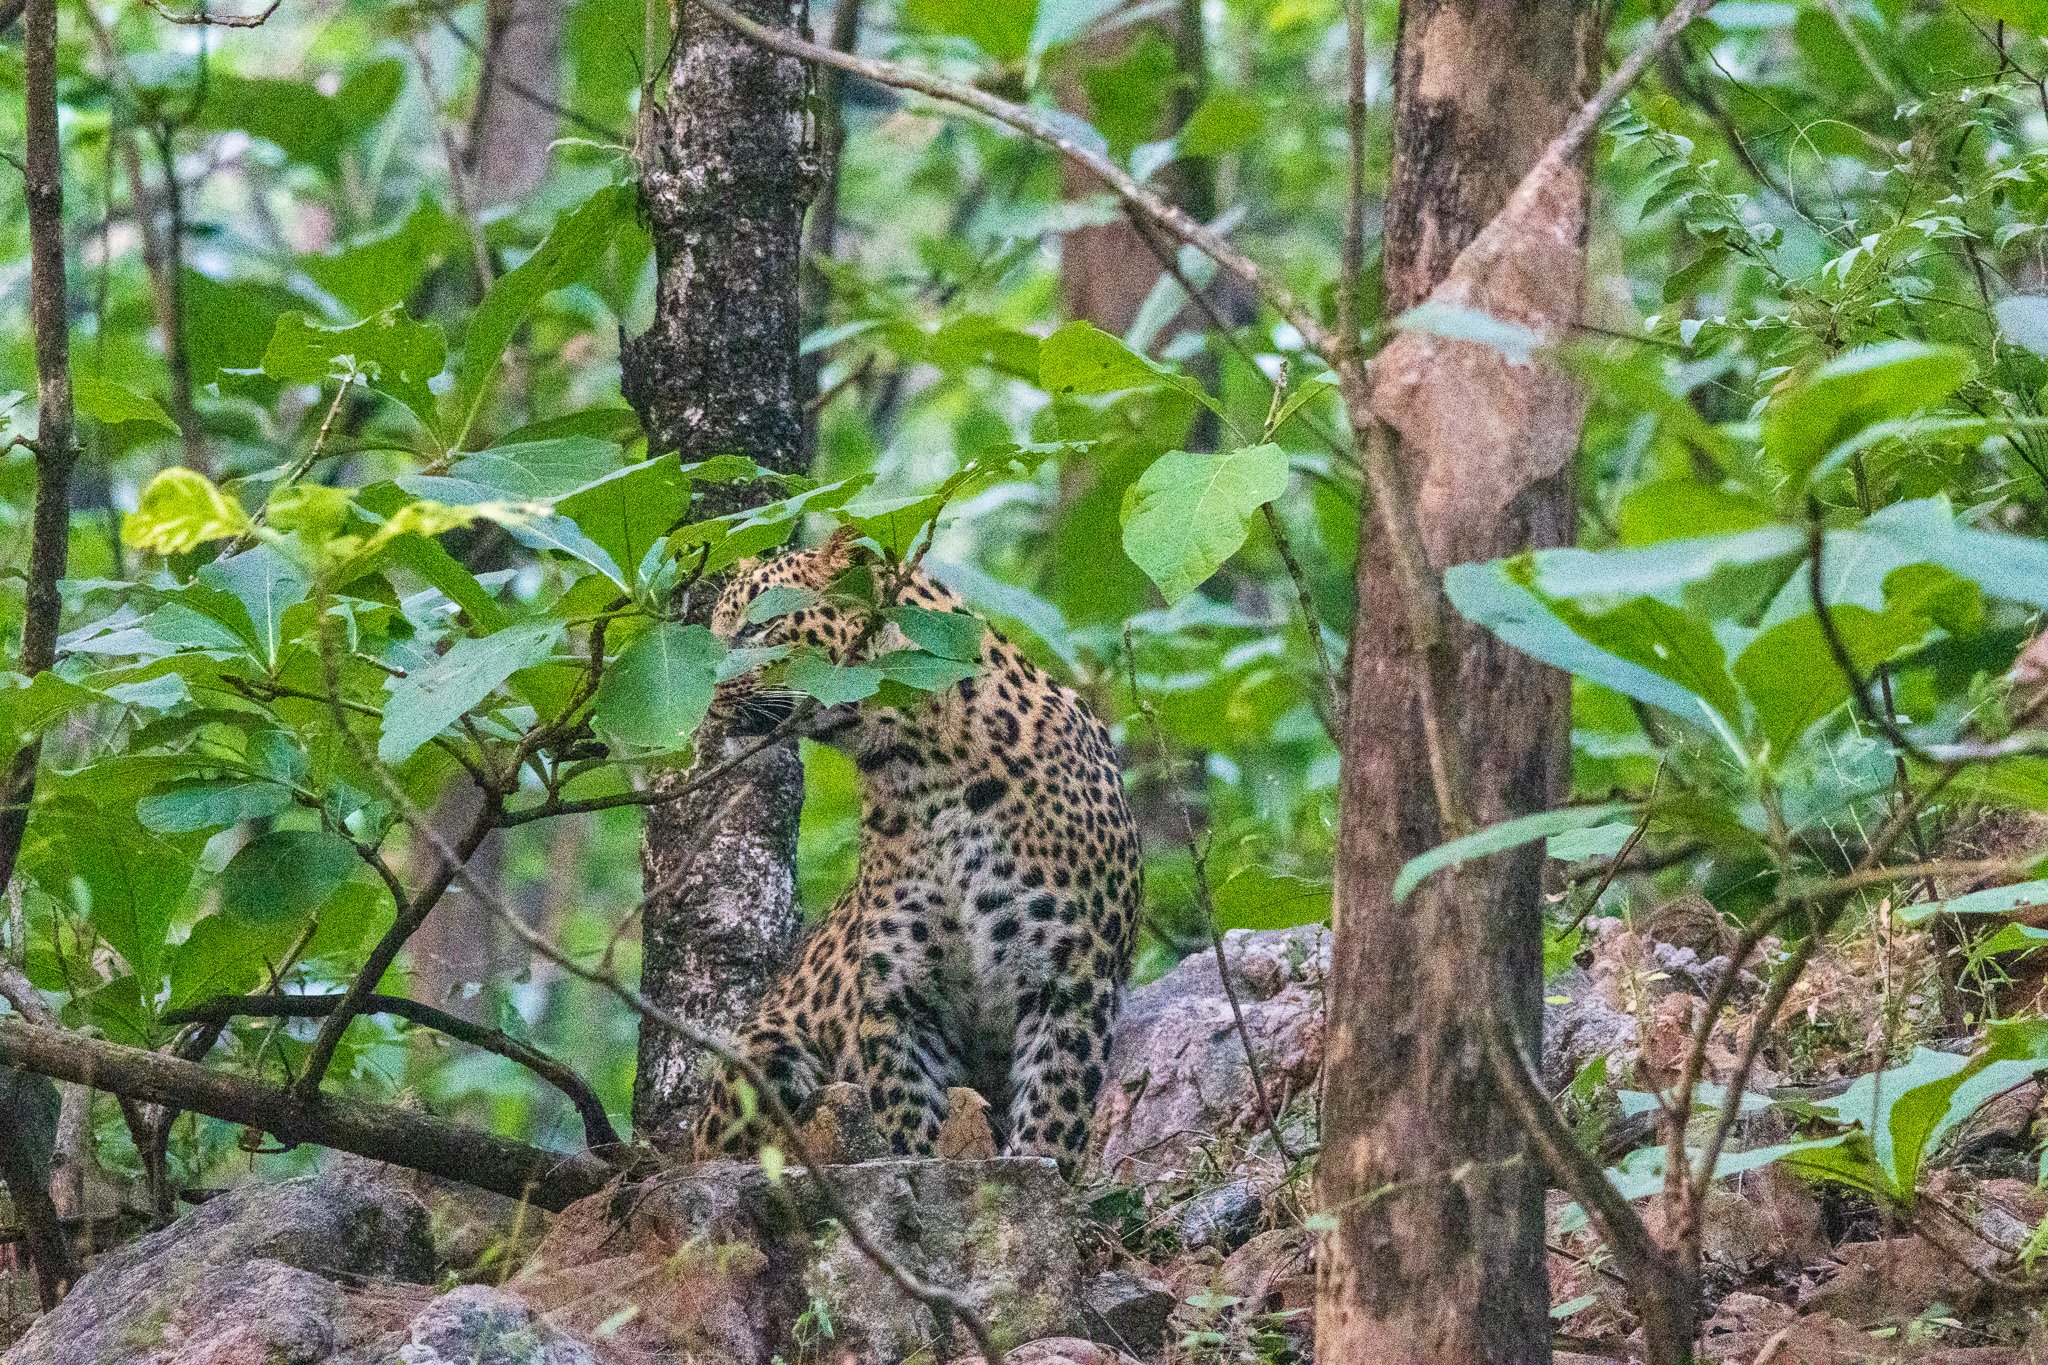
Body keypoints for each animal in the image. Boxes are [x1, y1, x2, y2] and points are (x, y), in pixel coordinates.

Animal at [684, 527, 1138, 1170]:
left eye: (756, 628)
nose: (700, 692)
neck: (924, 770)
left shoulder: (1073, 974)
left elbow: (1054, 1108)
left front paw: (1041, 1170)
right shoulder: (898, 987)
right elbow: (906, 1114)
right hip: (765, 1052)